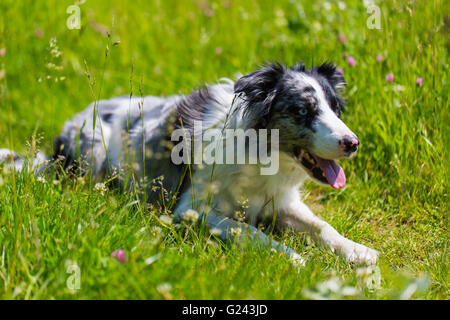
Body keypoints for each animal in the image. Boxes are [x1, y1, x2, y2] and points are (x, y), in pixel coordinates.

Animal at [0, 62, 380, 264]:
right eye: (303, 111)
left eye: (334, 108)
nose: (352, 144)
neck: (260, 153)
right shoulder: (191, 210)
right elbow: (250, 230)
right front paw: (293, 258)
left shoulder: (281, 201)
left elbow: (322, 226)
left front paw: (359, 252)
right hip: (93, 154)